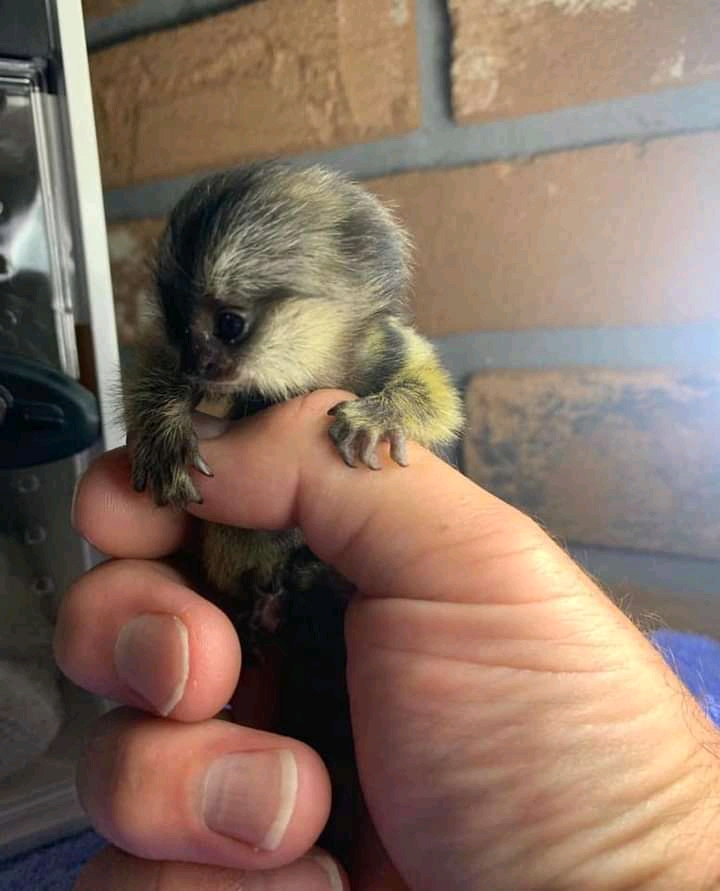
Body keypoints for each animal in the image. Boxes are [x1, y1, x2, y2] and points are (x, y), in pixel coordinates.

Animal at [122, 160, 464, 862]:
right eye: (178, 326)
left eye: (228, 324)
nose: (197, 360)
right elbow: (154, 381)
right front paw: (166, 429)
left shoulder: (387, 348)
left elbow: (436, 398)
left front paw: (383, 417)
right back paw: (262, 602)